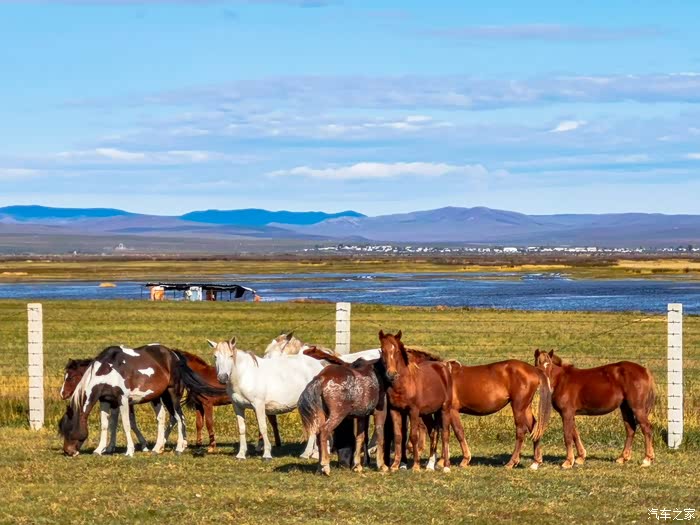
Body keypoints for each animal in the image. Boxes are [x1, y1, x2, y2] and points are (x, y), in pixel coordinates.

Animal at [59, 344, 187, 457]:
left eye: (69, 430)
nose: (68, 452)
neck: (106, 371)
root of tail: (173, 354)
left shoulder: (123, 400)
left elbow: (127, 424)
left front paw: (130, 450)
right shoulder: (106, 400)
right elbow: (106, 424)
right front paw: (100, 449)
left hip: (172, 394)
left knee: (179, 417)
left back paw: (180, 448)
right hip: (157, 397)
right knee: (162, 417)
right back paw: (158, 448)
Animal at [179, 337, 323, 460]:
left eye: (231, 356)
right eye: (215, 356)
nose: (223, 377)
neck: (244, 376)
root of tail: (320, 367)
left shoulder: (258, 405)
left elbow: (262, 427)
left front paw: (267, 454)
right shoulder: (237, 407)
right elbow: (241, 428)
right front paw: (241, 454)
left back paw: (308, 454)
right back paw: (312, 454)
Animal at [299, 347, 387, 475]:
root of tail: (322, 378)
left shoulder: (361, 415)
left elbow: (360, 437)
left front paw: (357, 465)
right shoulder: (380, 411)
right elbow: (380, 436)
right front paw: (381, 465)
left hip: (323, 415)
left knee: (319, 434)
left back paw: (320, 468)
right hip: (337, 415)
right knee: (324, 431)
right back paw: (325, 466)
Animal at [379, 330, 465, 472]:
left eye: (396, 350)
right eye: (382, 350)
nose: (391, 374)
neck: (404, 383)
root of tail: (443, 367)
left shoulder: (413, 411)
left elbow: (414, 436)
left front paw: (416, 466)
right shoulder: (395, 410)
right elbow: (398, 436)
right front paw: (395, 465)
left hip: (444, 409)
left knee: (445, 434)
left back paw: (446, 466)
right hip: (427, 414)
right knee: (433, 433)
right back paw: (430, 465)